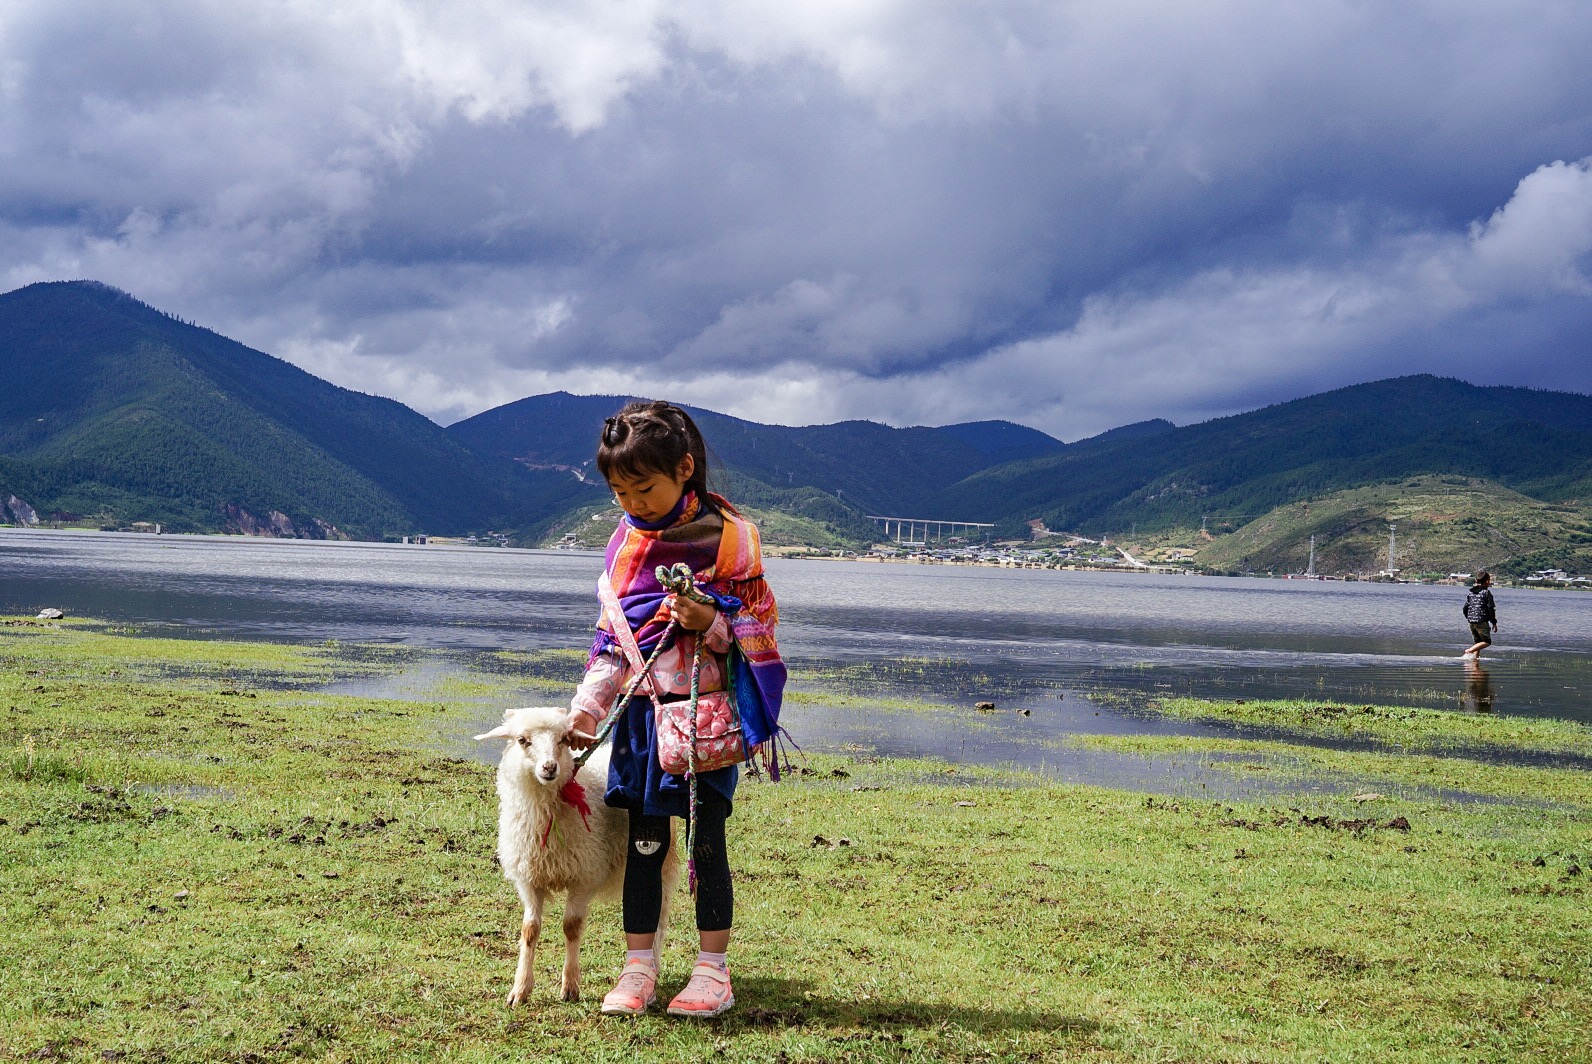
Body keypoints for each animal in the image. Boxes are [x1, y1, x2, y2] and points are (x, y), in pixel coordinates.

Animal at [471, 707, 671, 1006]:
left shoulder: (584, 875)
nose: (549, 767)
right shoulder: (529, 879)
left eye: (564, 739)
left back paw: (652, 968)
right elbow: (529, 930)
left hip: (662, 863)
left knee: (658, 918)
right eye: (522, 740)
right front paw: (521, 988)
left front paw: (570, 985)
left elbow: (571, 927)